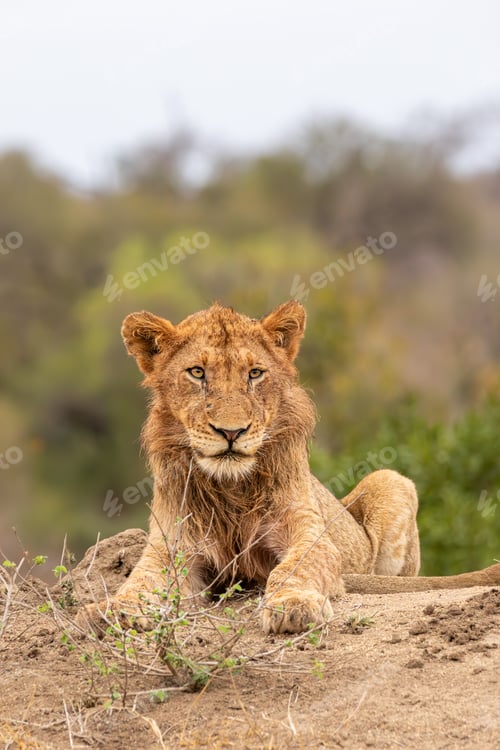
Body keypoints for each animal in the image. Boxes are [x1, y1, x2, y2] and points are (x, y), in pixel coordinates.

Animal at [78, 301, 500, 635]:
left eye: (255, 373)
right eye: (197, 373)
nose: (231, 432)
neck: (231, 488)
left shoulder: (310, 532)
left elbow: (295, 568)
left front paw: (293, 606)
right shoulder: (171, 547)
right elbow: (141, 581)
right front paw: (108, 610)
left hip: (391, 481)